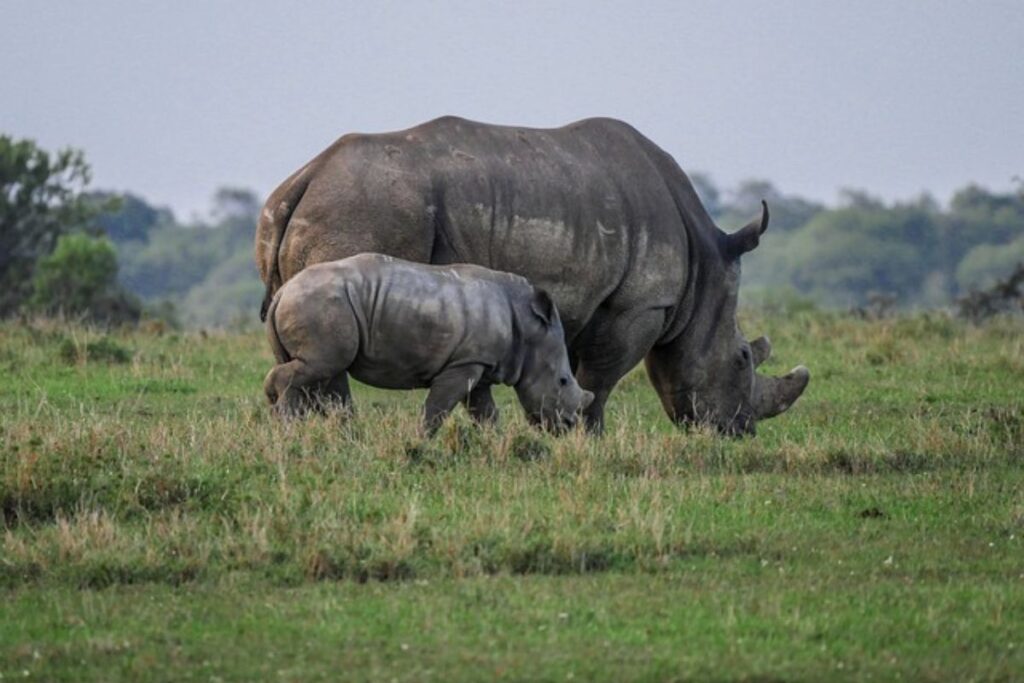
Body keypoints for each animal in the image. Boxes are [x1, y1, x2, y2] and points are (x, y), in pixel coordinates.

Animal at [262, 253, 593, 436]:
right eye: (563, 381)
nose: (568, 426)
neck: (527, 327)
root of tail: (283, 291)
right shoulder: (463, 364)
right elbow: (437, 408)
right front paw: (419, 442)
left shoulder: (478, 363)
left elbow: (485, 413)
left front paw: (498, 444)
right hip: (320, 304)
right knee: (321, 366)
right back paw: (289, 428)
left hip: (315, 303)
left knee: (319, 373)